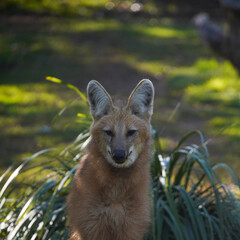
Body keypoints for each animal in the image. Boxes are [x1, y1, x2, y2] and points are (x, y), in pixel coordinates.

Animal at [66, 79, 155, 239]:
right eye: (108, 132)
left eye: (131, 132)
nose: (119, 155)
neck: (116, 192)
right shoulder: (91, 228)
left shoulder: (131, 228)